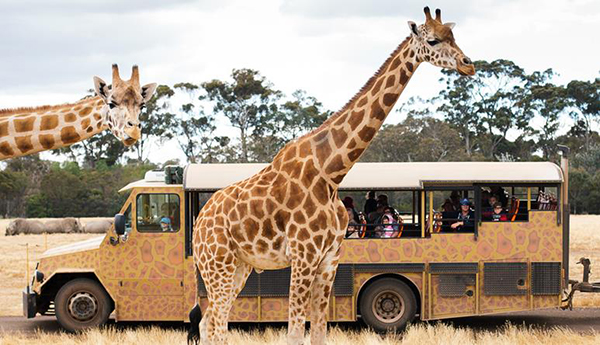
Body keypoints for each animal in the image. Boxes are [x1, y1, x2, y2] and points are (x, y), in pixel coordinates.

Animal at [190, 6, 476, 344]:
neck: (331, 173)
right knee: (218, 325)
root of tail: (199, 224)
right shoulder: (303, 255)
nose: (468, 64)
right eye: (432, 40)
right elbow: (295, 333)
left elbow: (319, 331)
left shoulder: (329, 259)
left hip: (239, 266)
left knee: (208, 323)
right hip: (217, 262)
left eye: (453, 36)